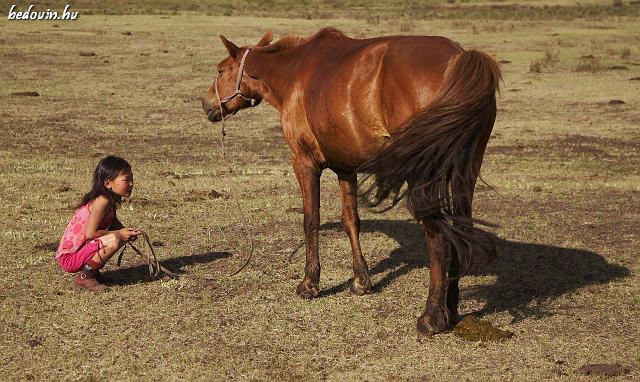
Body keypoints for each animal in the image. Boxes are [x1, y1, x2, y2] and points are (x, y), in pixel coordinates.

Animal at [200, 28, 500, 336]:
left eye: (220, 70)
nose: (206, 103)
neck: (294, 70)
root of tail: (459, 57)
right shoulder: (346, 168)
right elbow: (351, 221)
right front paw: (361, 281)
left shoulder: (303, 163)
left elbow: (310, 220)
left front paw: (310, 284)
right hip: (464, 173)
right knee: (461, 227)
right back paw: (452, 308)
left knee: (438, 237)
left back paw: (432, 317)